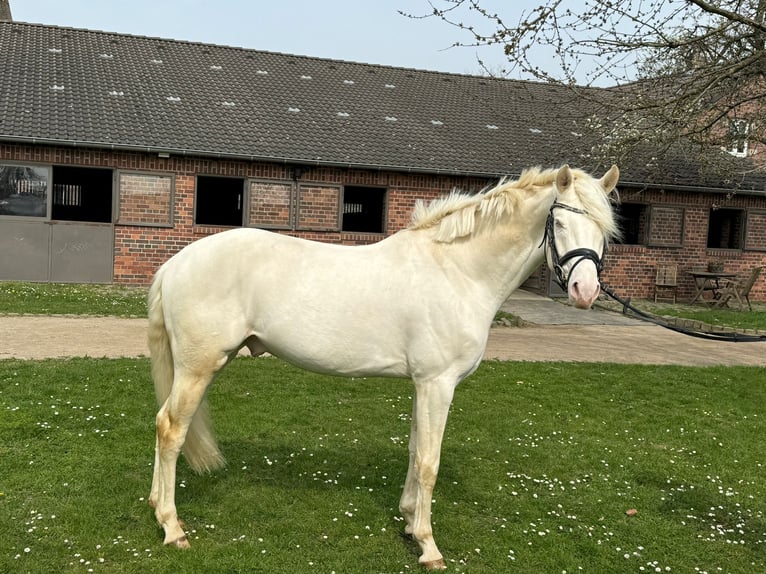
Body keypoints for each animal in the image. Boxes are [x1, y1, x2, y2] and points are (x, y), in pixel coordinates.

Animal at [147, 164, 620, 569]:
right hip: (197, 368)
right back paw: (173, 528)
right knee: (171, 429)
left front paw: (409, 522)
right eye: (561, 224)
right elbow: (429, 461)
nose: (585, 291)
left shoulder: (422, 385)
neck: (457, 271)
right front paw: (429, 547)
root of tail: (174, 264)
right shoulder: (438, 384)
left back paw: (156, 508)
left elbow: (413, 451)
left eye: (605, 231)